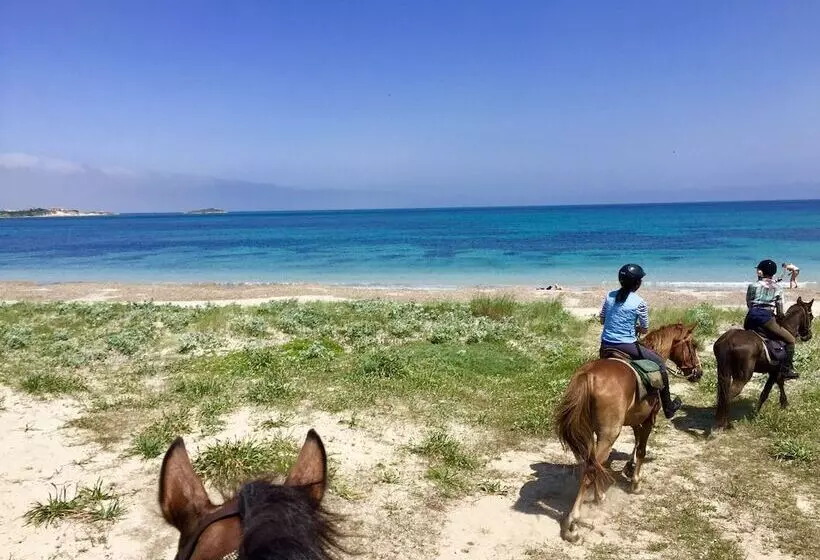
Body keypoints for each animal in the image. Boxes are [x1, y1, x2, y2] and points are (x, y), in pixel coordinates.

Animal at [555, 323, 703, 543]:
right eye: (692, 345)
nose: (698, 372)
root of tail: (589, 375)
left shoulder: (634, 420)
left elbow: (635, 443)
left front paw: (628, 467)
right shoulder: (649, 419)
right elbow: (641, 449)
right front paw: (636, 482)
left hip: (594, 433)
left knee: (594, 463)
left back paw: (599, 497)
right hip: (609, 434)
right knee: (591, 469)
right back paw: (573, 524)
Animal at [712, 297, 814, 431]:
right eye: (811, 316)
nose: (808, 335)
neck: (787, 327)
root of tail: (728, 340)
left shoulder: (774, 370)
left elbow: (778, 384)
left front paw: (783, 403)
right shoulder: (776, 371)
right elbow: (766, 392)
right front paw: (757, 413)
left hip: (723, 371)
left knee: (722, 395)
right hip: (743, 376)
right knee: (729, 395)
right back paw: (727, 424)